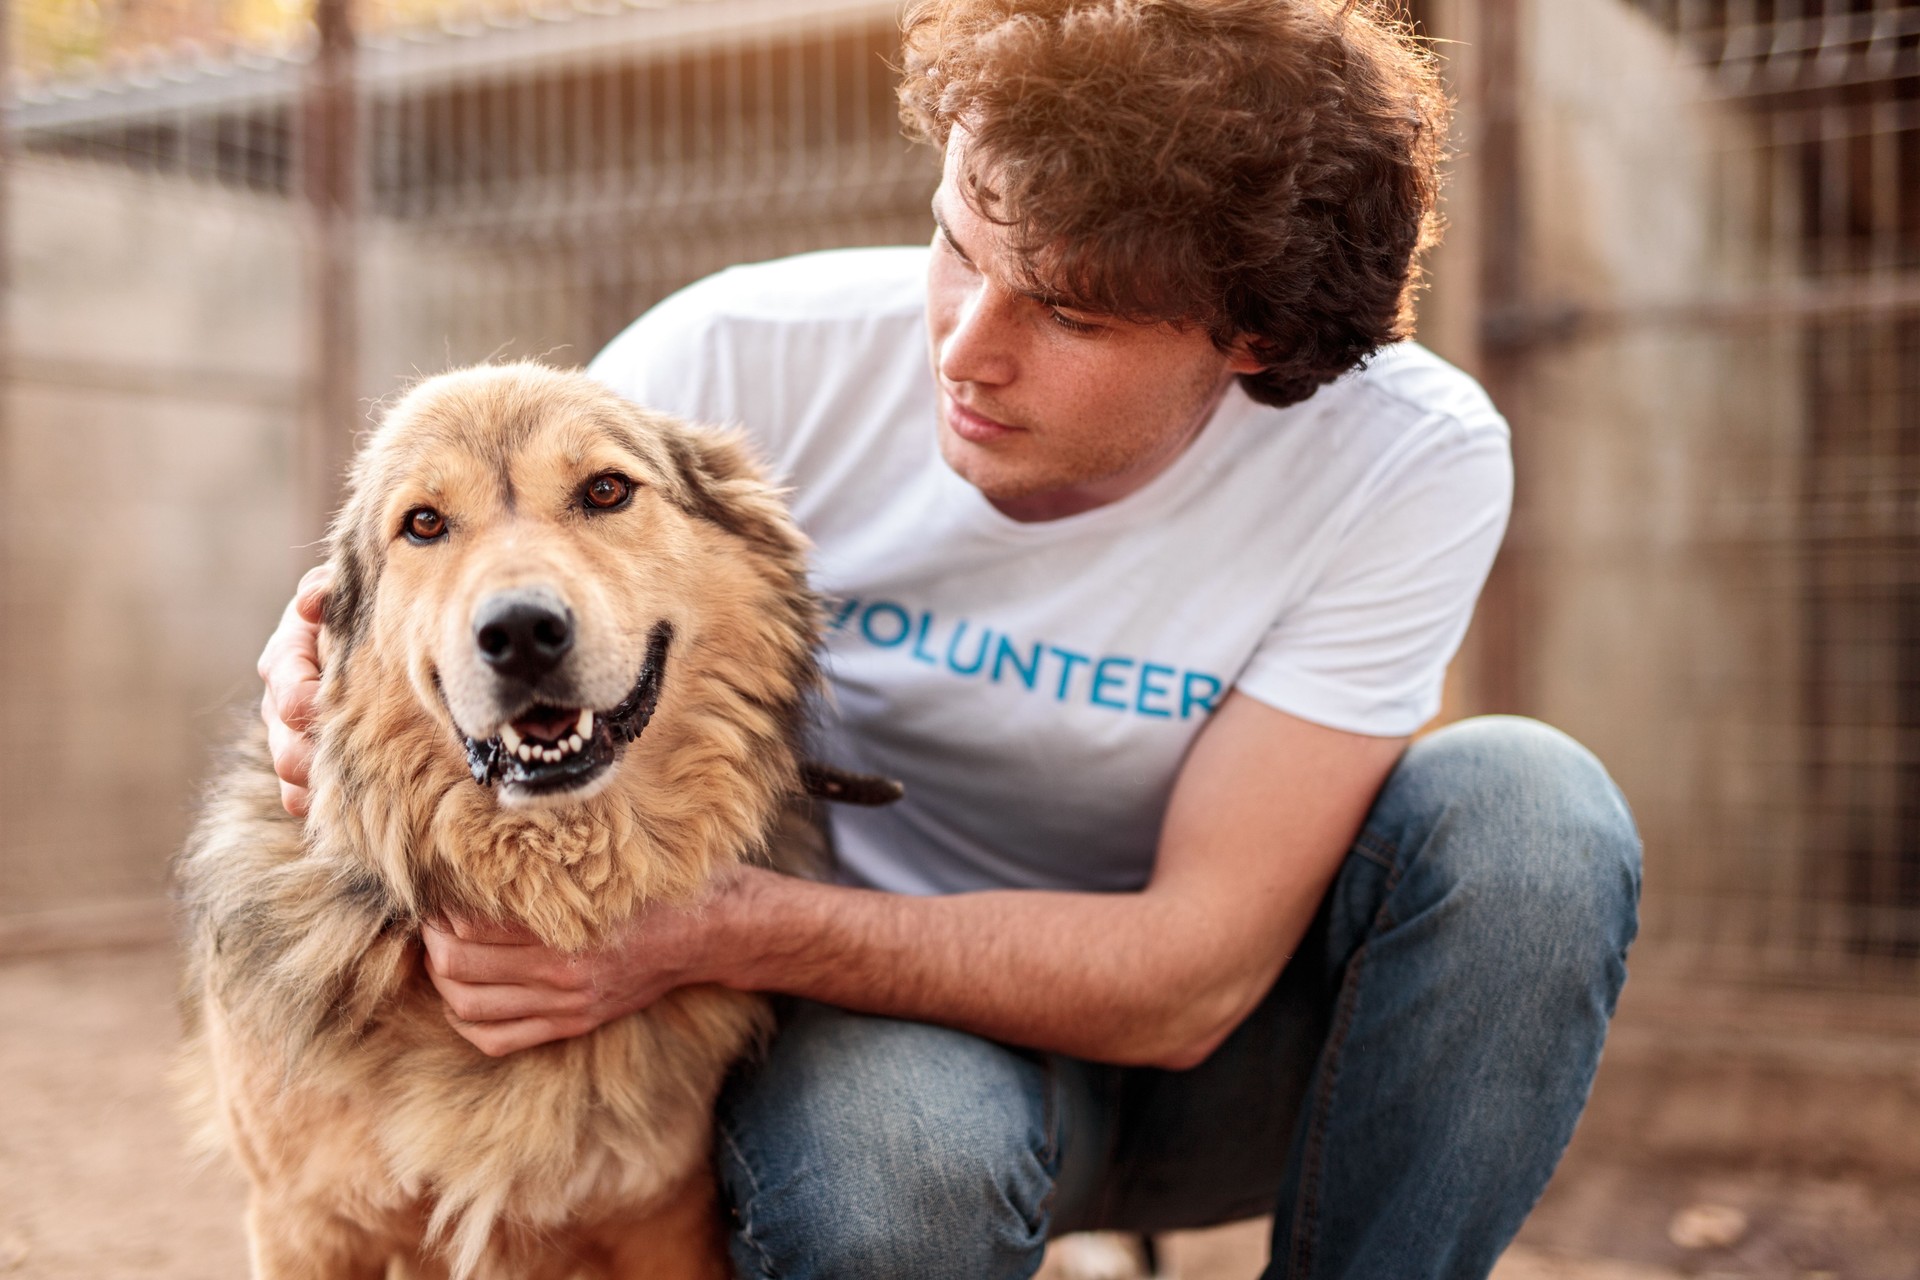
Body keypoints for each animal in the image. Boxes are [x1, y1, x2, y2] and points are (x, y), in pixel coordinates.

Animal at [181, 362, 833, 1280]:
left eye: (606, 490)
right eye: (424, 523)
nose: (522, 631)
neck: (539, 881)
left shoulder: (669, 1218)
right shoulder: (301, 1222)